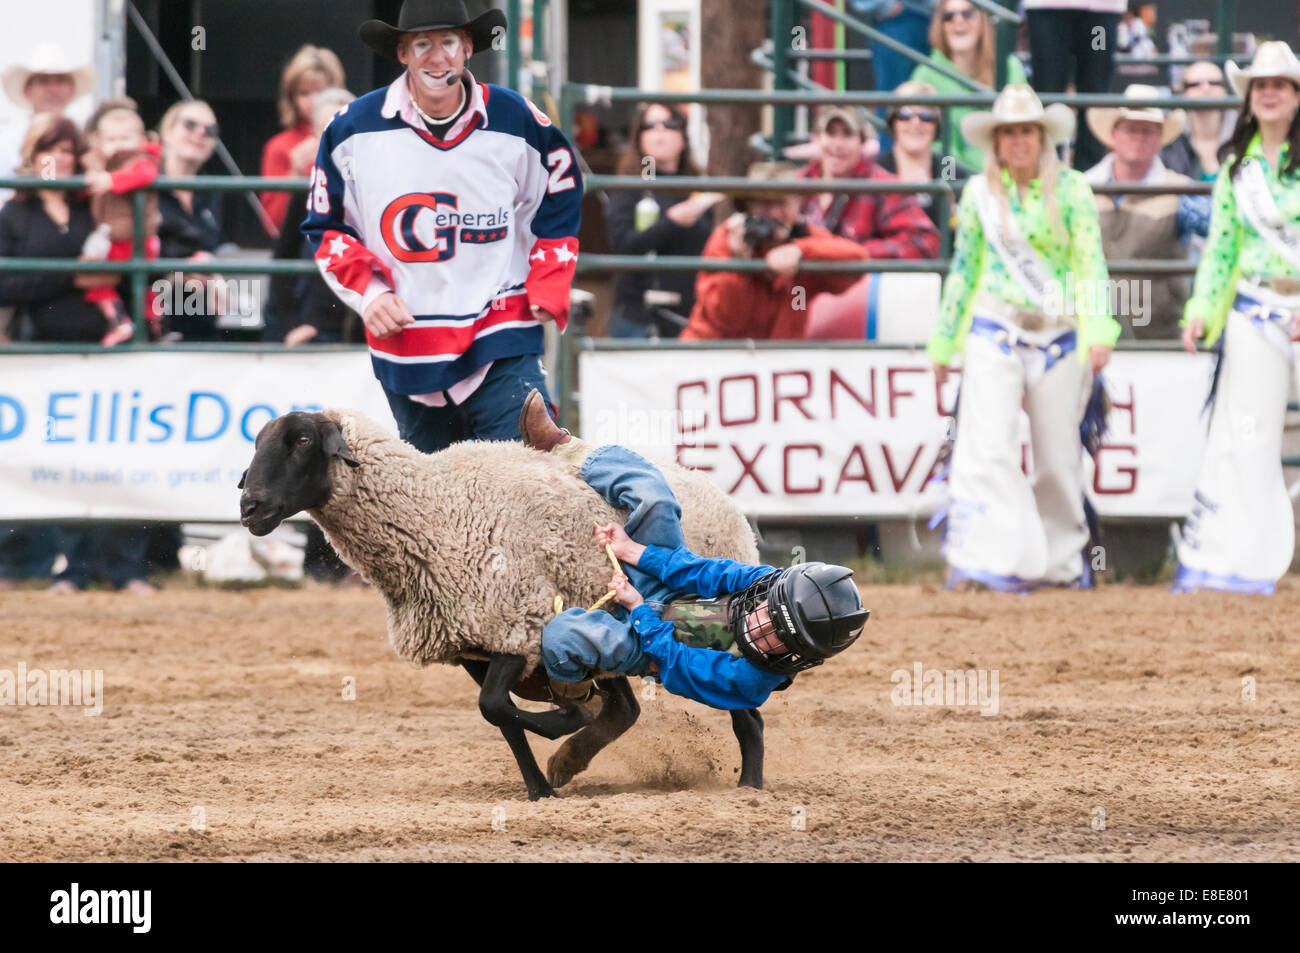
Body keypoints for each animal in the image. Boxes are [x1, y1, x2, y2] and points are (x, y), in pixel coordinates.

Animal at [238, 409, 766, 800]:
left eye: (303, 440)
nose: (249, 507)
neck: (434, 512)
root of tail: (720, 494)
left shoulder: (518, 625)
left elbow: (496, 706)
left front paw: (567, 721)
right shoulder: (475, 645)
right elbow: (499, 715)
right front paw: (539, 790)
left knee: (744, 710)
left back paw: (750, 784)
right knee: (626, 710)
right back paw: (568, 761)